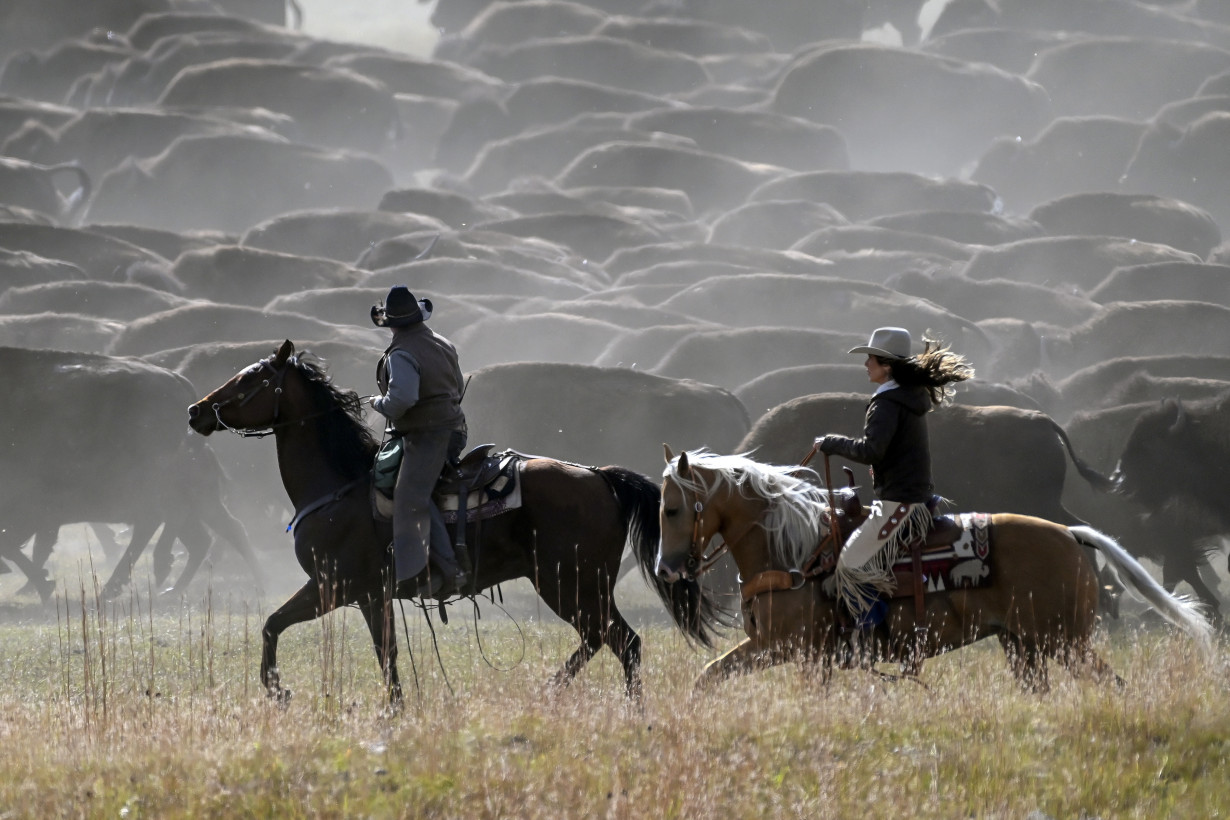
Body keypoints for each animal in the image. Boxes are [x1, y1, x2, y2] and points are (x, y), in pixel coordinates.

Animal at [186, 339, 723, 708]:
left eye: (250, 380)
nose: (196, 411)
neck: (341, 485)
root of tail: (598, 476)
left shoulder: (333, 585)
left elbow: (277, 626)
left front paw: (278, 690)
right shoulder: (366, 594)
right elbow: (380, 652)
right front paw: (393, 710)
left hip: (569, 583)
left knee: (621, 643)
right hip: (580, 586)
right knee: (605, 641)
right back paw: (556, 691)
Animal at [654, 449, 1210, 693]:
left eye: (673, 509)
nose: (666, 568)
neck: (792, 553)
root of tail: (1072, 536)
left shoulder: (788, 648)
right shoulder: (792, 653)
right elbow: (708, 677)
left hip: (1064, 642)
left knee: (1113, 683)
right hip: (1023, 643)